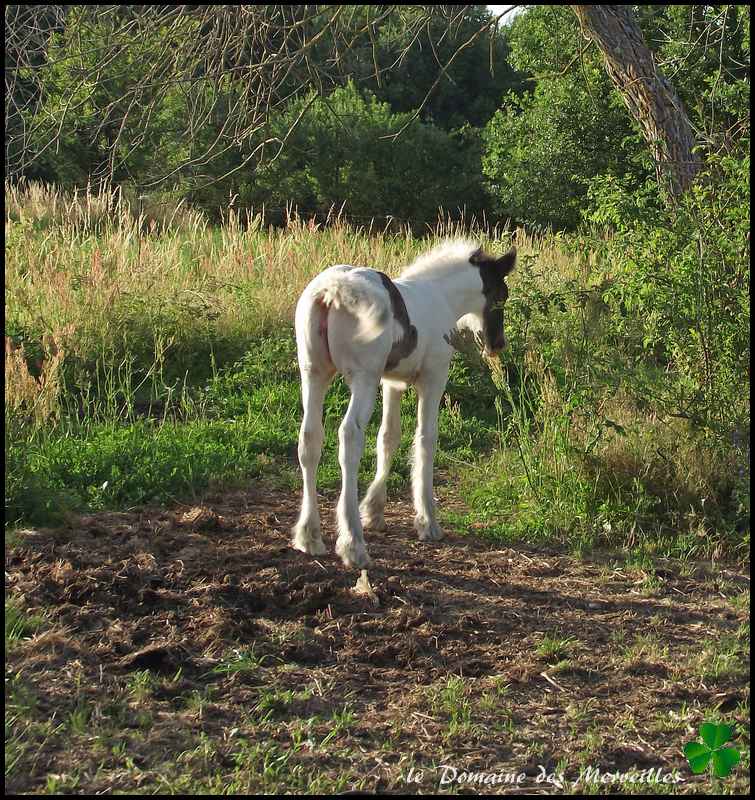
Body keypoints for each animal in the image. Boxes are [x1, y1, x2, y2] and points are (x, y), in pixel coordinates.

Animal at [290, 239, 512, 568]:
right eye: (501, 296)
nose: (497, 344)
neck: (441, 295)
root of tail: (332, 289)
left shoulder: (391, 383)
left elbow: (388, 437)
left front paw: (374, 510)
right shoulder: (433, 377)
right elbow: (426, 438)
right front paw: (427, 521)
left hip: (313, 373)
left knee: (309, 439)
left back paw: (309, 536)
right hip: (363, 378)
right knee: (350, 436)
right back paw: (353, 544)